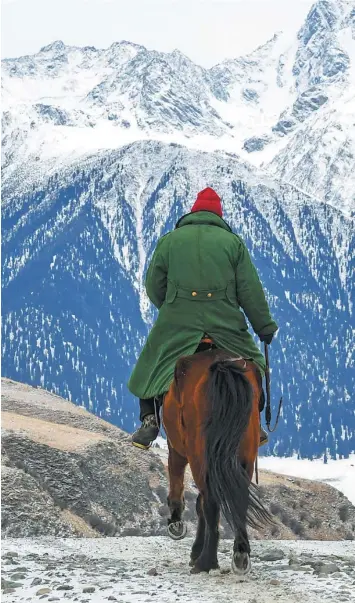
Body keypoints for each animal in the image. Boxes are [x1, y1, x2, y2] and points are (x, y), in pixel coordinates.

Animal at [163, 346, 270, 572]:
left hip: (199, 455)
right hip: (244, 456)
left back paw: (206, 561)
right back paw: (240, 553)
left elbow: (183, 490)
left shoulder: (176, 449)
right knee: (239, 498)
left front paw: (178, 526)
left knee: (210, 501)